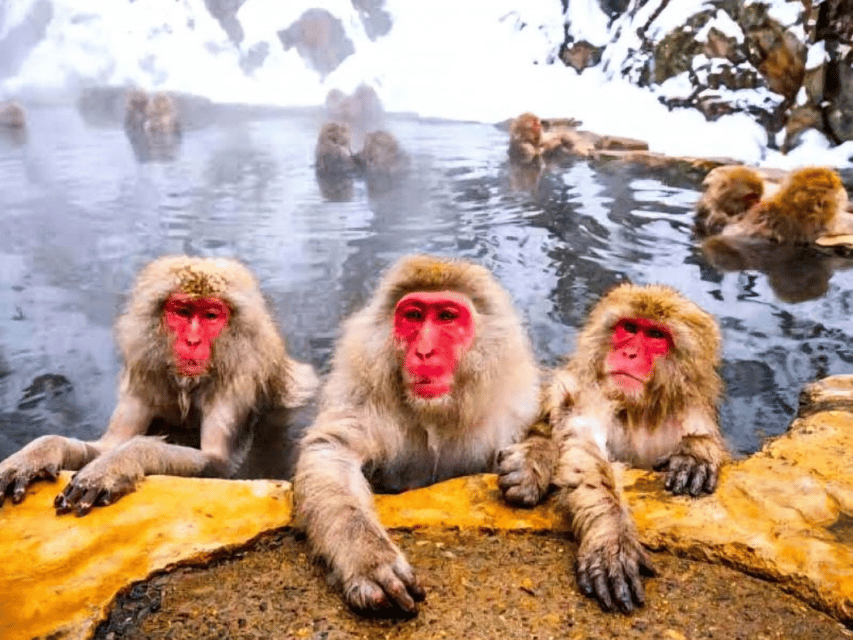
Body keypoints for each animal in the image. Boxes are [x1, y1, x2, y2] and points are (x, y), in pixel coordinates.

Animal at [0, 256, 318, 515]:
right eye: (182, 311)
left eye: (211, 316)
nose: (192, 342)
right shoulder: (145, 376)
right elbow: (107, 444)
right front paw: (37, 453)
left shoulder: (239, 381)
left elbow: (221, 464)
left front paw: (119, 463)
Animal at [293, 254, 541, 615]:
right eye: (413, 316)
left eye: (447, 317)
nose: (424, 351)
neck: (434, 414)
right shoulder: (365, 400)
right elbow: (332, 451)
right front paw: (368, 558)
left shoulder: (513, 411)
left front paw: (534, 463)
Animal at [498, 283, 726, 614]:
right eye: (629, 328)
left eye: (655, 336)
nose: (628, 353)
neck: (639, 411)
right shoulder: (593, 394)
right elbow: (584, 448)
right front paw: (612, 538)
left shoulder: (690, 410)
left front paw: (695, 453)